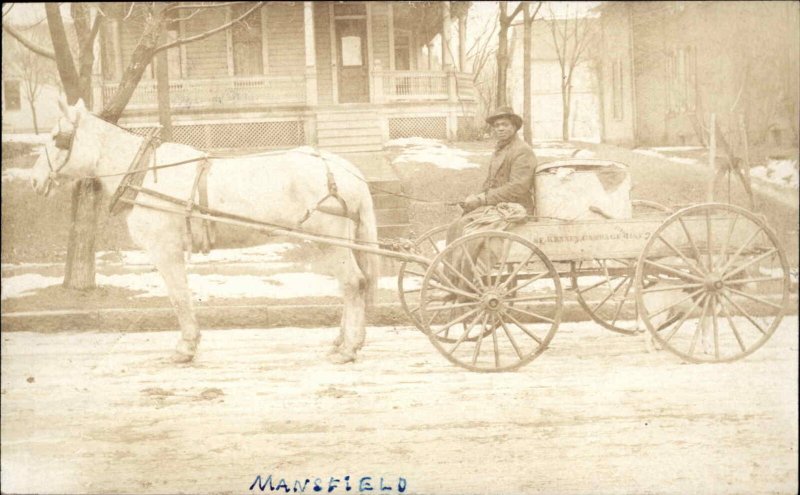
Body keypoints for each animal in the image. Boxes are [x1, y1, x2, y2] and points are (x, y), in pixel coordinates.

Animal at [30, 100, 378, 364]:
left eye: (56, 137)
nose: (34, 179)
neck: (143, 173)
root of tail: (346, 170)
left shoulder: (166, 251)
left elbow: (179, 297)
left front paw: (185, 347)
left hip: (331, 241)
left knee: (353, 284)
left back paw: (348, 348)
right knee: (350, 287)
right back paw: (344, 341)